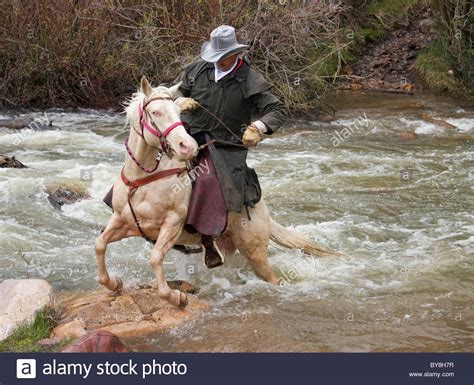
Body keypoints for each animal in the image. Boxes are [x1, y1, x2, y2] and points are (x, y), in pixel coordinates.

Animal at [94, 76, 336, 308]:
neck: (144, 181)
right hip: (227, 245)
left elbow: (155, 258)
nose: (187, 147)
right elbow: (99, 245)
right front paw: (115, 283)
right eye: (155, 112)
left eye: (177, 113)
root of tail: (262, 209)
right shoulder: (123, 221)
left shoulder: (172, 224)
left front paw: (177, 298)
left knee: (272, 278)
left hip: (255, 251)